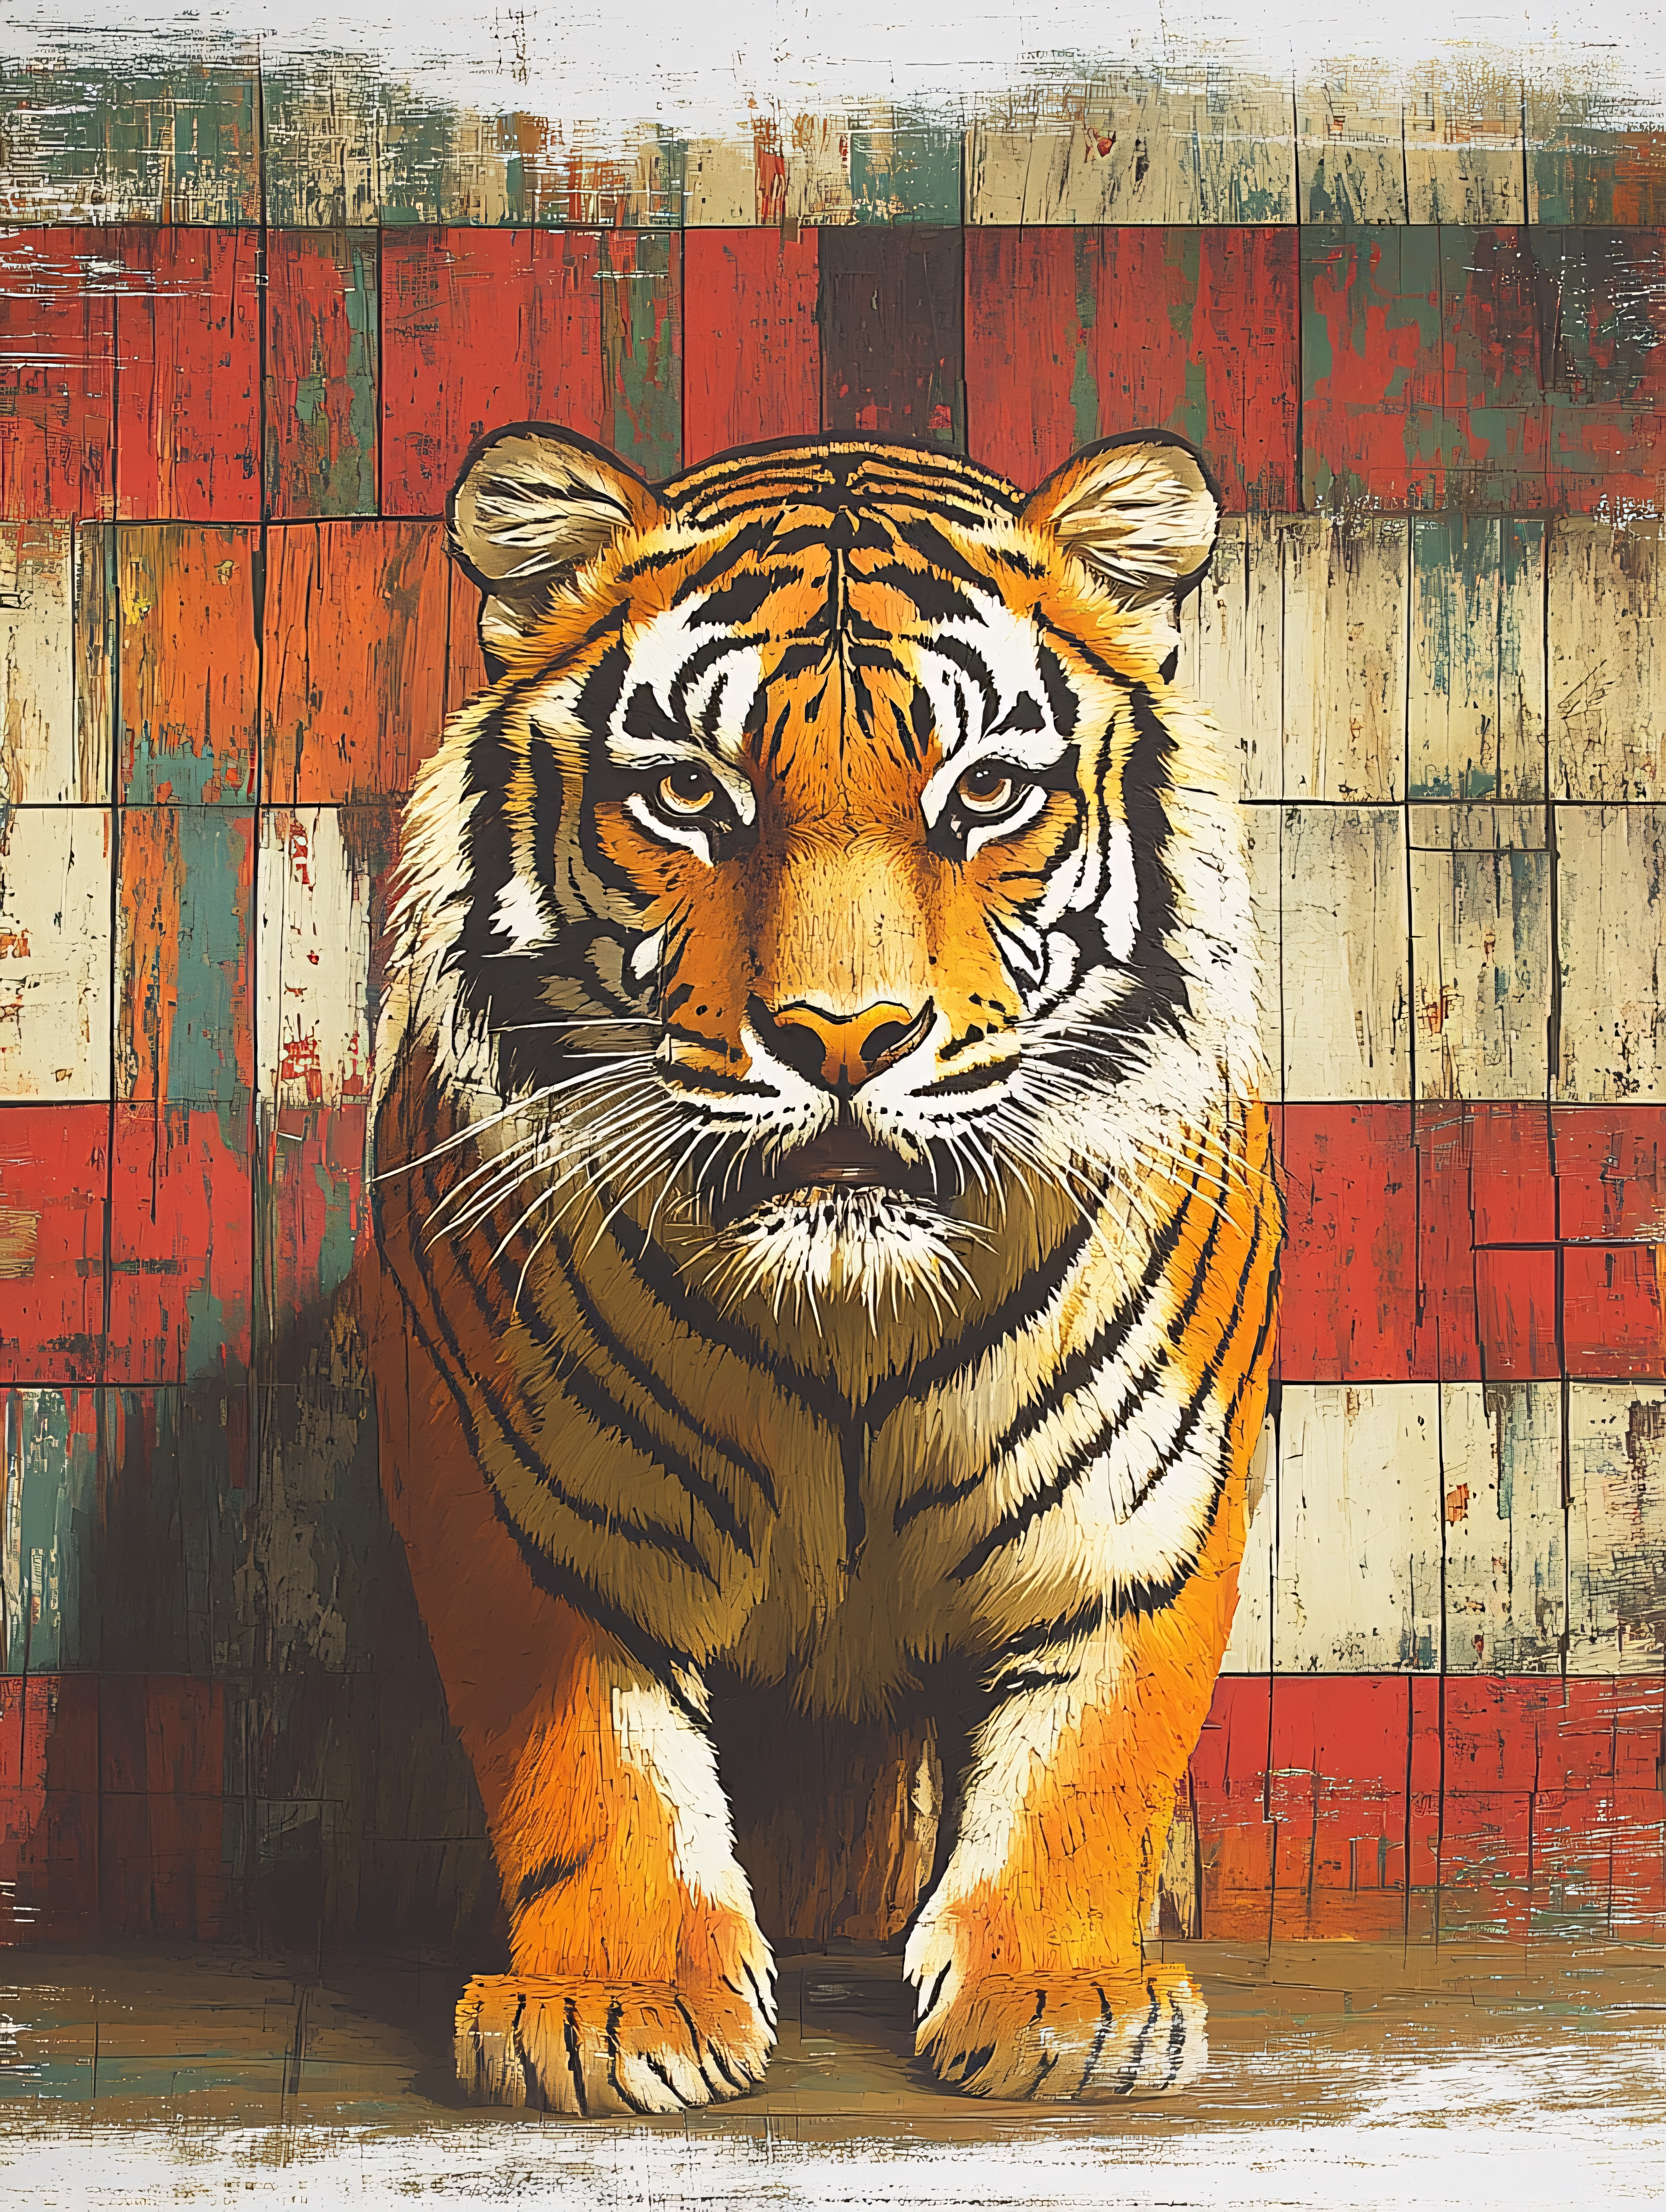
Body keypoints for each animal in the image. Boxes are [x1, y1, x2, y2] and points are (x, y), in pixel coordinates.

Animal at [365, 420, 1281, 2113]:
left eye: (985, 791)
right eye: (687, 794)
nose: (842, 1039)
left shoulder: (1138, 1516)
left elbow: (1088, 1760)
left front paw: (1064, 2006)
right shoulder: (524, 1511)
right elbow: (591, 1761)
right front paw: (613, 2012)